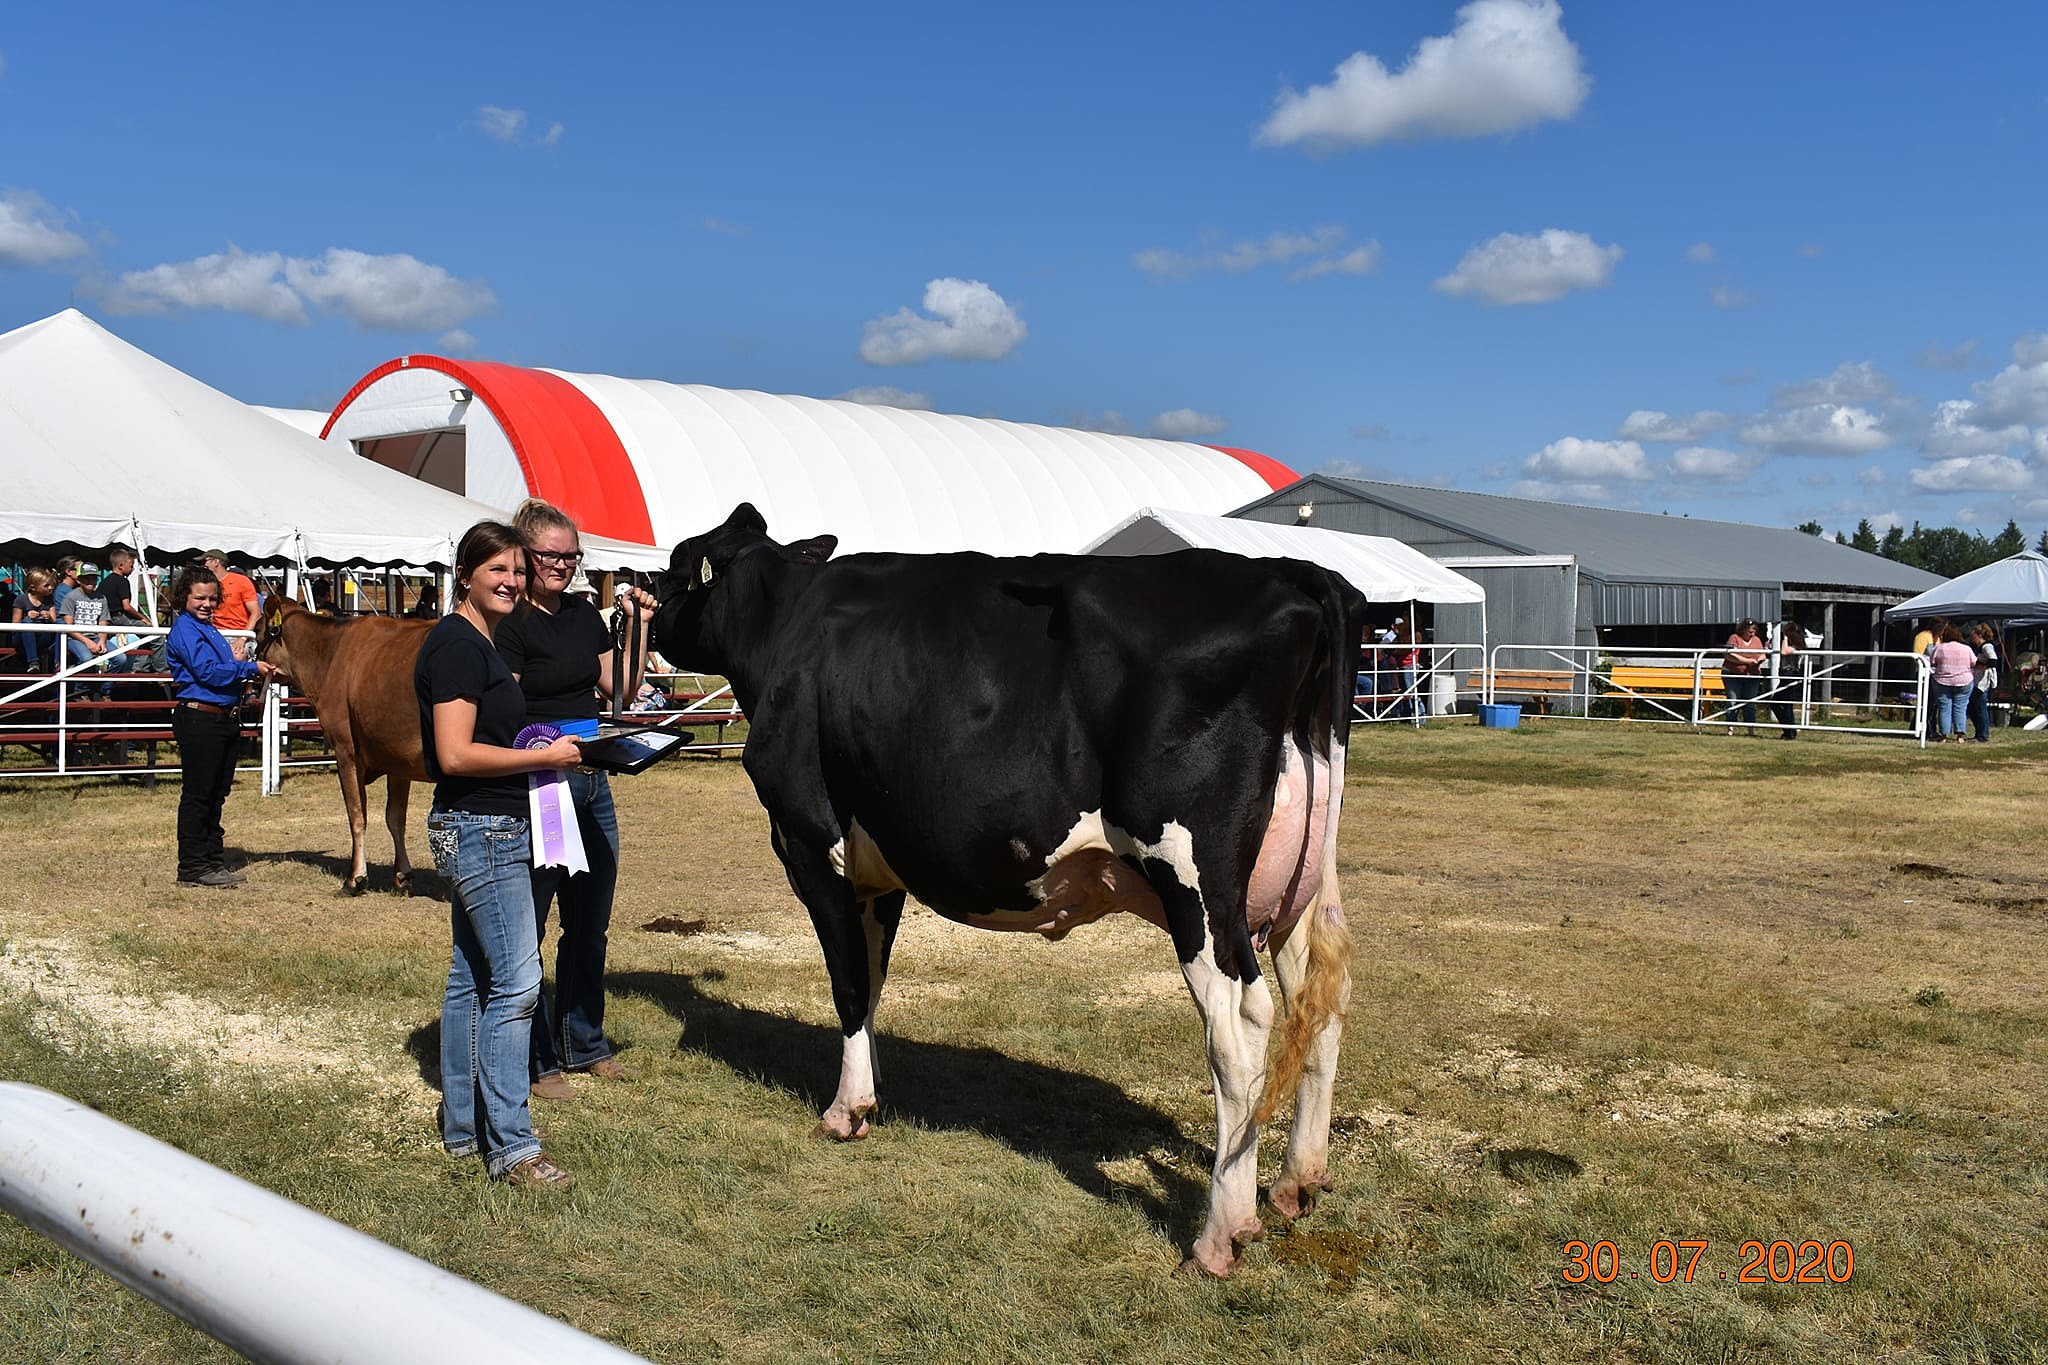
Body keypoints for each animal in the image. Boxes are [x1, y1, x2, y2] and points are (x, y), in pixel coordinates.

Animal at [256, 593, 432, 896]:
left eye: (256, 631)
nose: (253, 672)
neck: (329, 654)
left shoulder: (345, 749)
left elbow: (356, 814)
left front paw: (355, 878)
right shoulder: (398, 758)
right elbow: (395, 817)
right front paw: (402, 875)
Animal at [655, 505, 1359, 1285]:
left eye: (678, 566)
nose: (645, 615)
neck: (785, 623)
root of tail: (1293, 572)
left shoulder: (810, 845)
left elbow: (846, 984)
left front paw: (844, 1111)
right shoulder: (883, 867)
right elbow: (872, 980)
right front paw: (872, 1093)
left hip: (1197, 883)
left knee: (1240, 1031)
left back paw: (1221, 1234)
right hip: (1302, 886)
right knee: (1323, 1001)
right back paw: (1298, 1182)